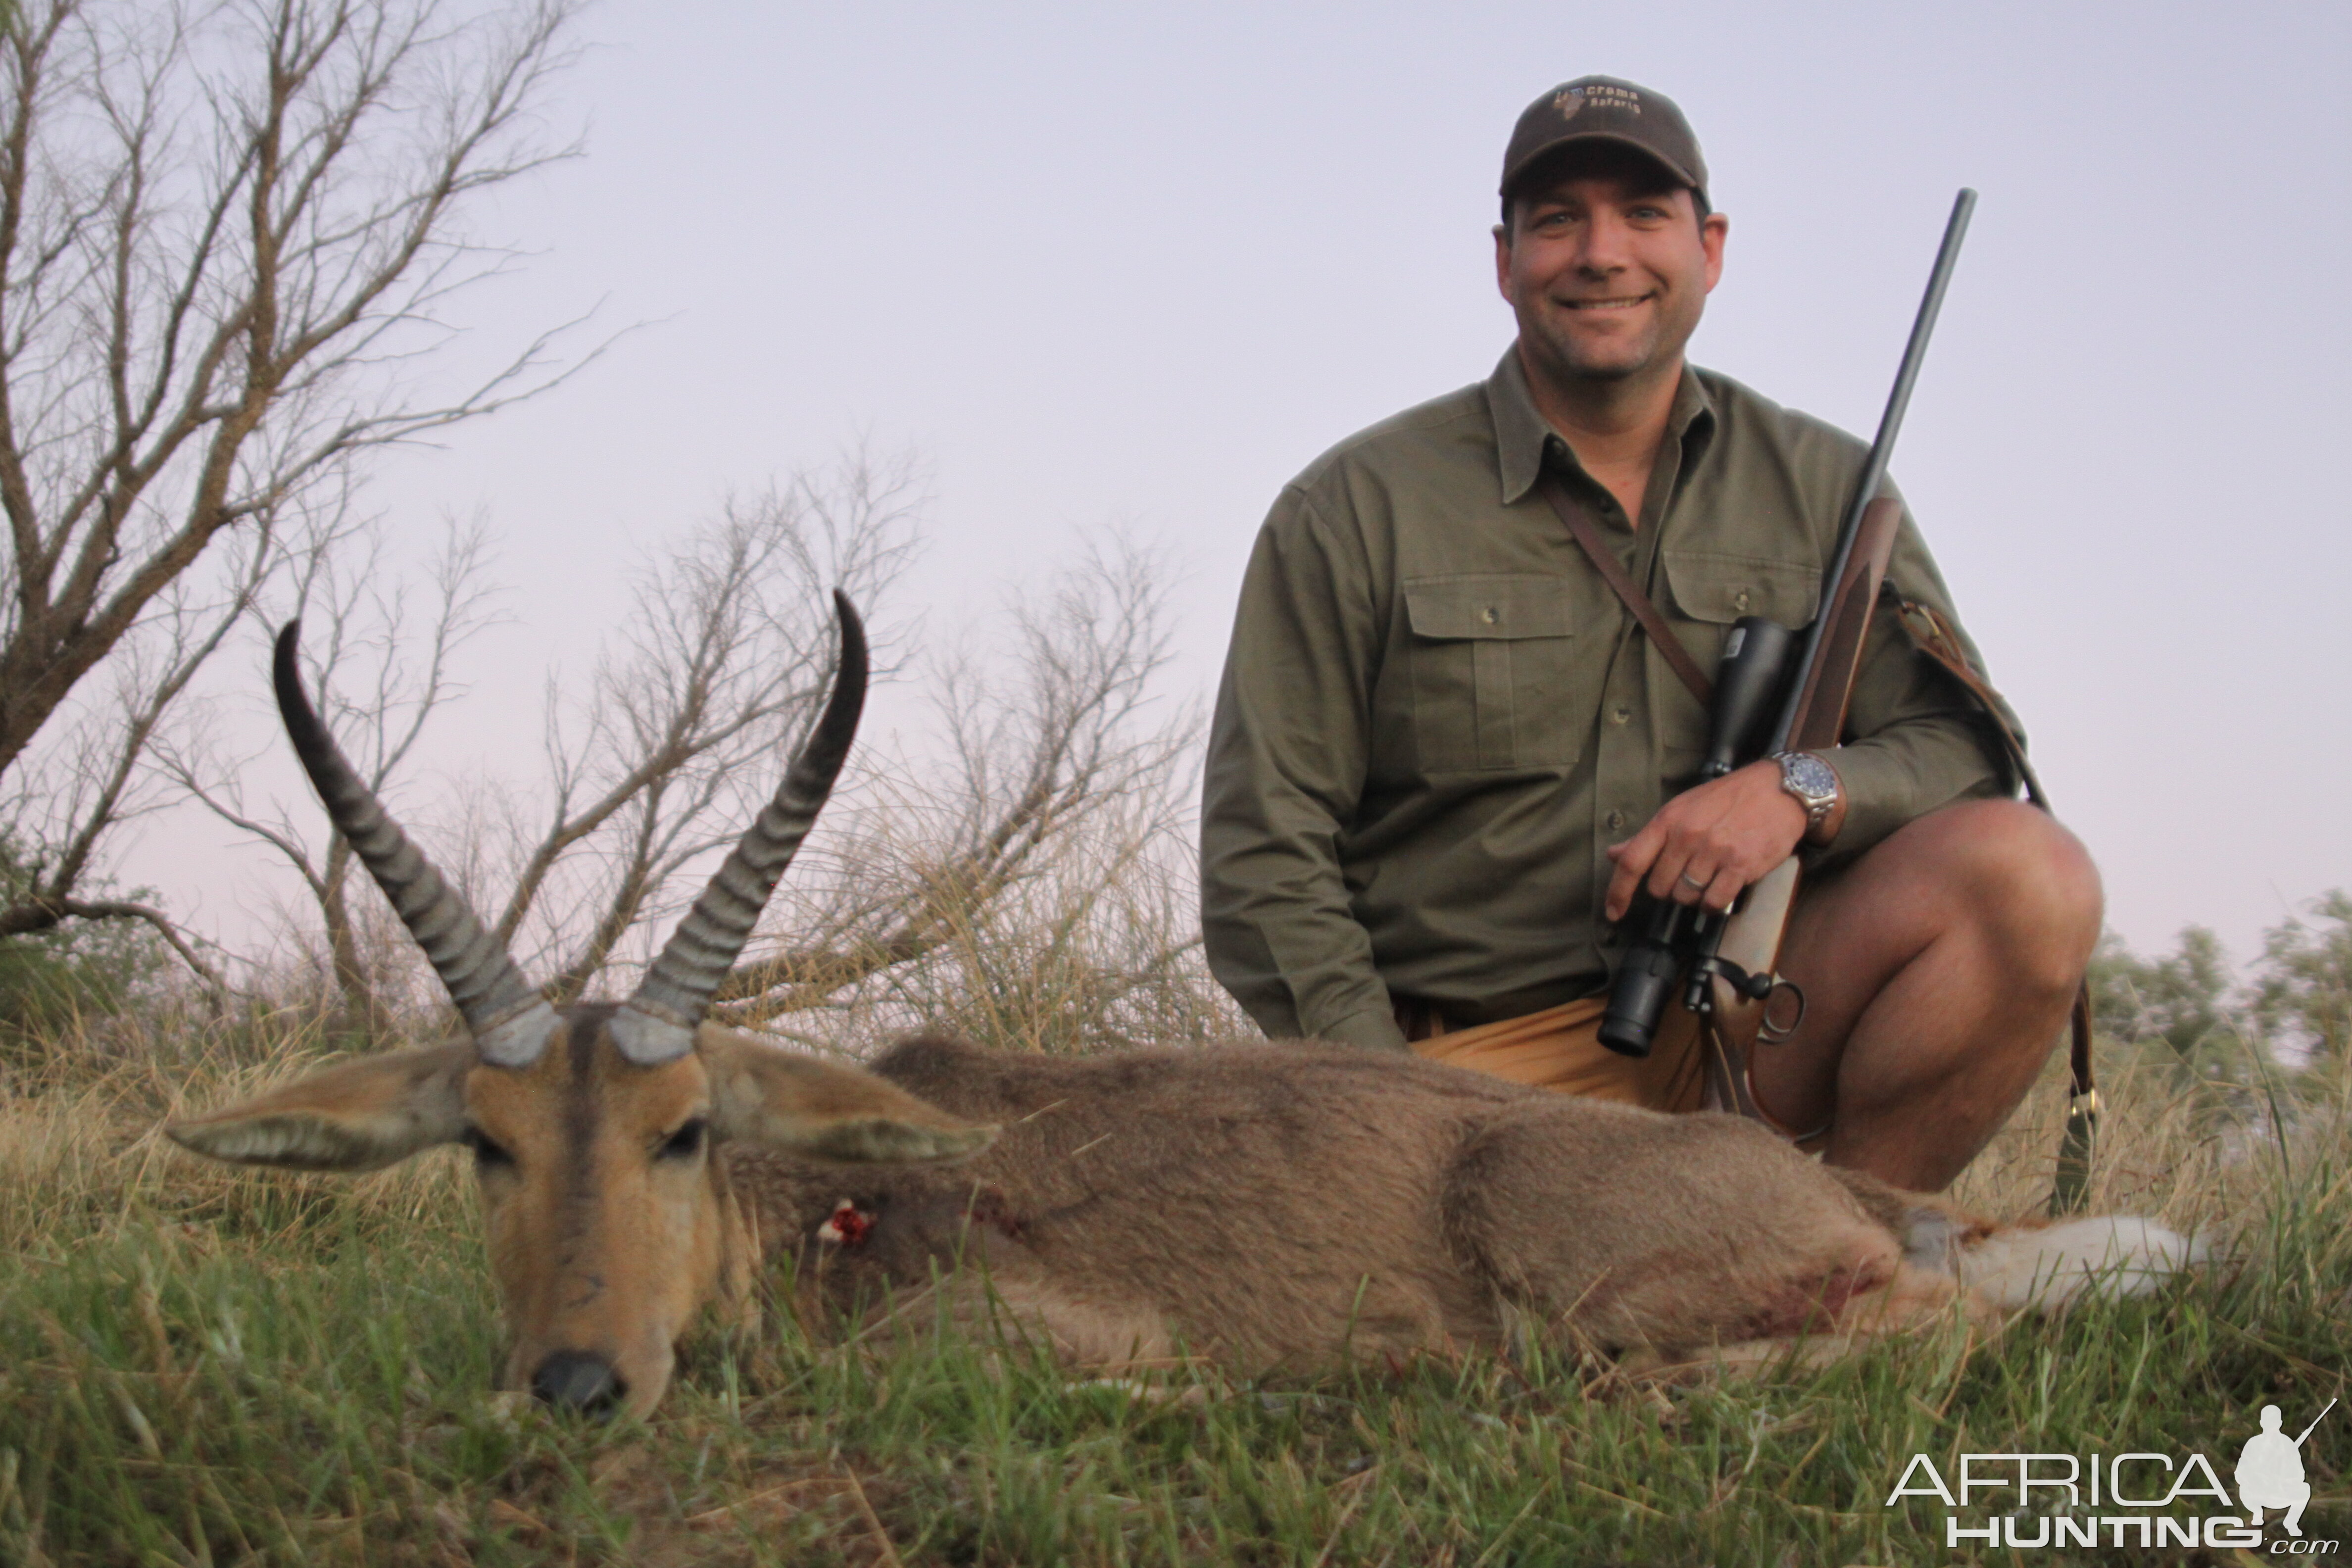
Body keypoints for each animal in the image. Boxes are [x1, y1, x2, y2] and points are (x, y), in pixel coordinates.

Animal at [170, 592, 2201, 1420]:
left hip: (1603, 1273)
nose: (577, 1385)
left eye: (682, 1130)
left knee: (1921, 1338)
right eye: (483, 1146)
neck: (819, 1211)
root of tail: (1864, 1197)